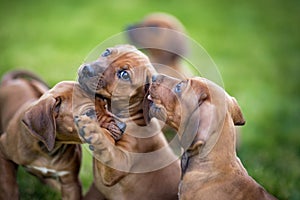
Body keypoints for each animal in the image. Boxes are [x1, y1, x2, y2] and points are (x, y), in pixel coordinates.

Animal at [0, 71, 124, 199]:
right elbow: (8, 185)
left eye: (105, 105)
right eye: (89, 113)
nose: (123, 126)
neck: (50, 148)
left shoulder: (70, 183)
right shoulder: (4, 152)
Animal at [77, 45, 180, 200]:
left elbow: (109, 149)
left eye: (124, 74)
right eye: (106, 52)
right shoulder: (96, 191)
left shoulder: (119, 163)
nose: (86, 69)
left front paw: (95, 132)